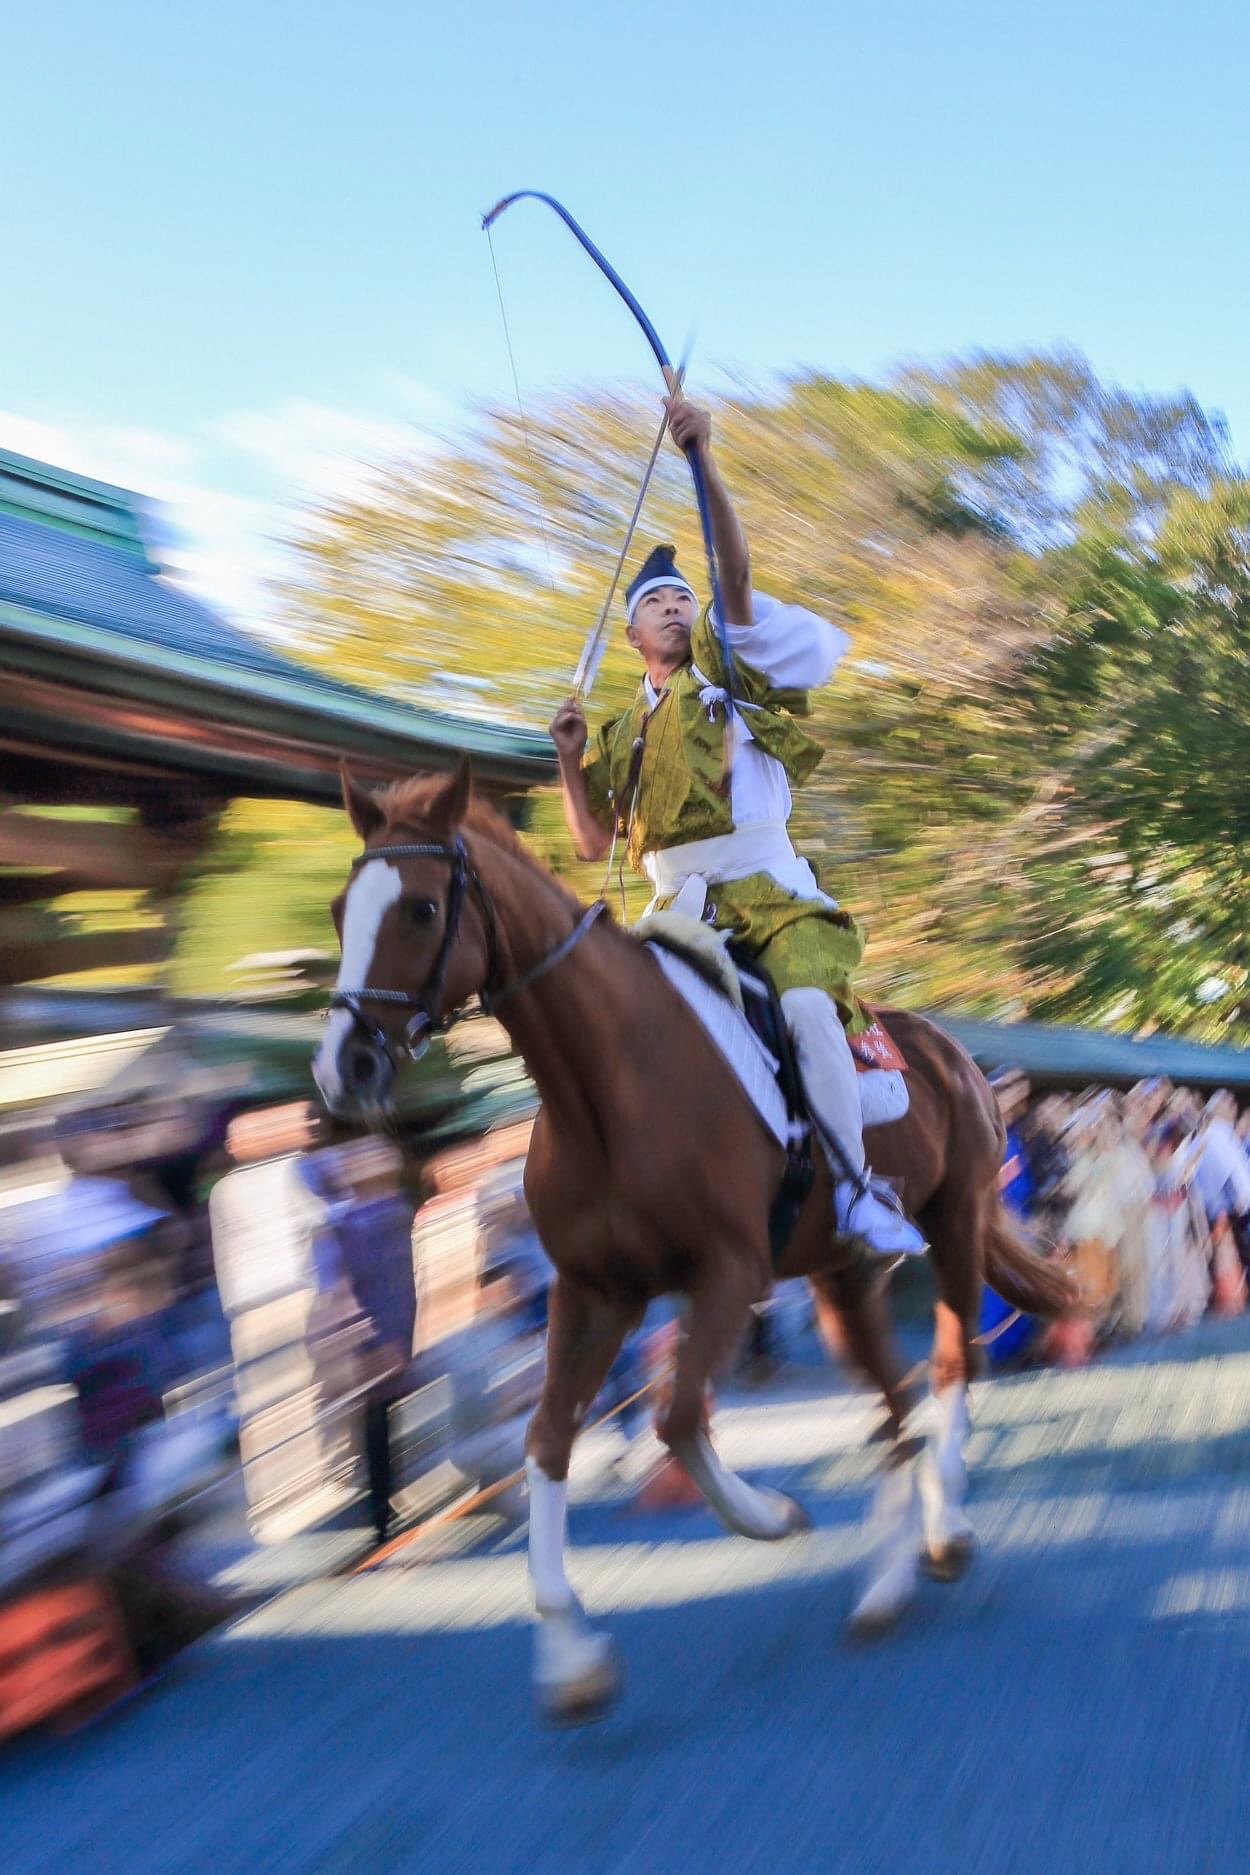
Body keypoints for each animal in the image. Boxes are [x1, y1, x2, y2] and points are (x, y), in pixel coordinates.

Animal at [312, 757, 1079, 1717]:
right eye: (340, 910)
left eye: (418, 908)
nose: (344, 1066)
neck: (607, 1086)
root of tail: (952, 1049)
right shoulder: (594, 1290)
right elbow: (547, 1441)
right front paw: (571, 1655)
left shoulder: (730, 1269)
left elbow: (677, 1420)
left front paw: (771, 1514)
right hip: (839, 1275)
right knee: (895, 1402)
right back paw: (886, 1580)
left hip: (958, 1220)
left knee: (948, 1368)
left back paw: (943, 1529)